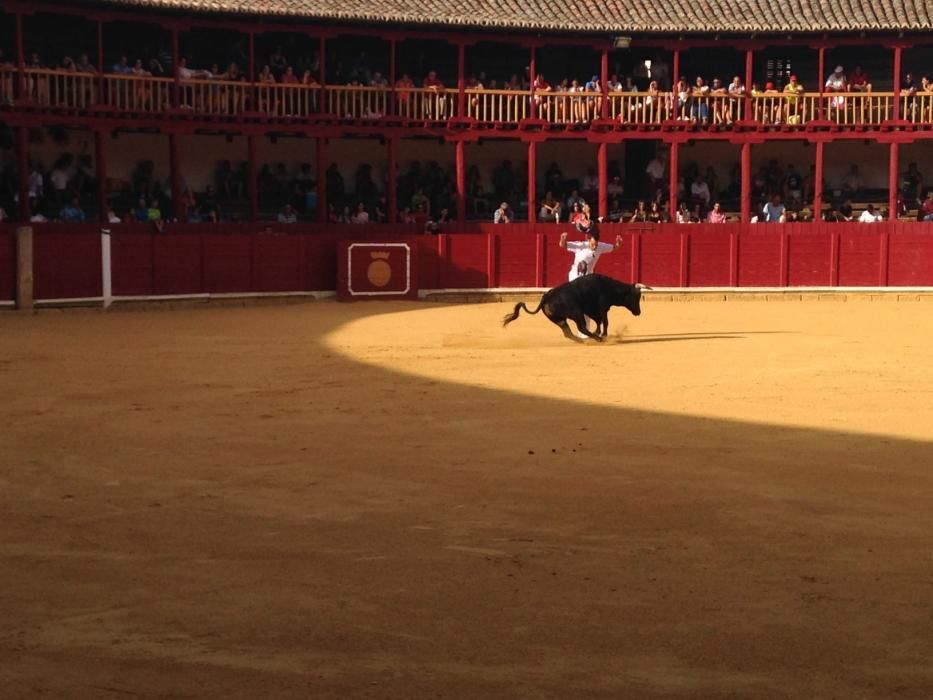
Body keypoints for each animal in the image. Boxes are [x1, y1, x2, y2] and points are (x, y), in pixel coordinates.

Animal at [502, 274, 648, 342]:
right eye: (635, 297)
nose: (638, 312)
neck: (609, 286)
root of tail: (546, 297)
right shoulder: (601, 308)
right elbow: (604, 321)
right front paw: (603, 335)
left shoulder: (591, 310)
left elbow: (599, 321)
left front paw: (597, 332)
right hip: (576, 313)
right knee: (581, 327)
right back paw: (597, 339)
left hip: (559, 319)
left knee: (567, 332)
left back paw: (584, 340)